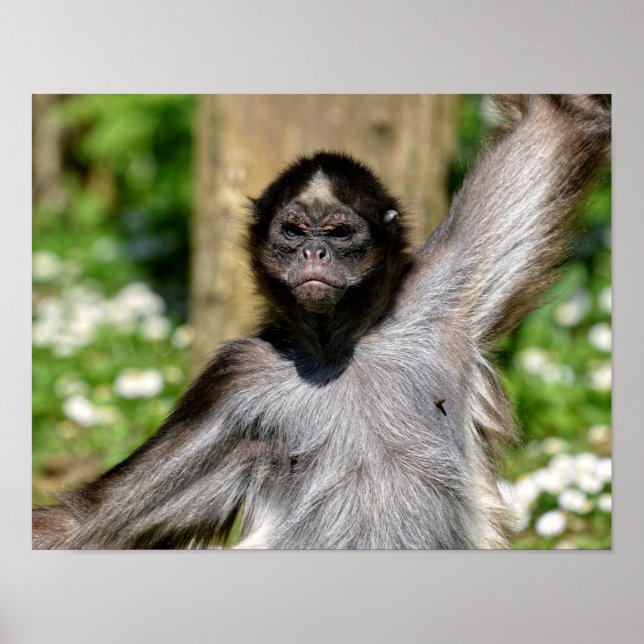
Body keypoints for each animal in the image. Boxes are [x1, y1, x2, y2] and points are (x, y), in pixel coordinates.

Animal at [32, 95, 611, 549]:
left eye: (338, 232)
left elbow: (558, 116)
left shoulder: (434, 300)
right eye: (293, 231)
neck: (337, 352)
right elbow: (88, 526)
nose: (313, 252)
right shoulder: (236, 377)